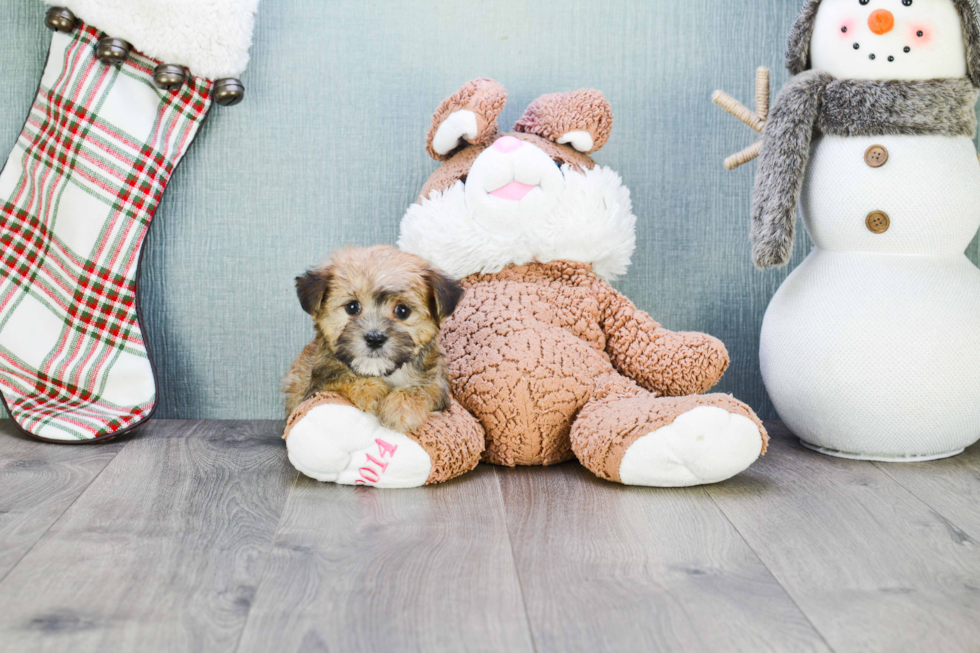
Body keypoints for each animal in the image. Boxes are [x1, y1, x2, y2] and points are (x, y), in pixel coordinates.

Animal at [282, 244, 466, 432]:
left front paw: (399, 408)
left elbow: (424, 390)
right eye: (352, 307)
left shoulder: (438, 385)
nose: (375, 338)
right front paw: (370, 390)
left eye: (403, 311)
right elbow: (341, 379)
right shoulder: (319, 384)